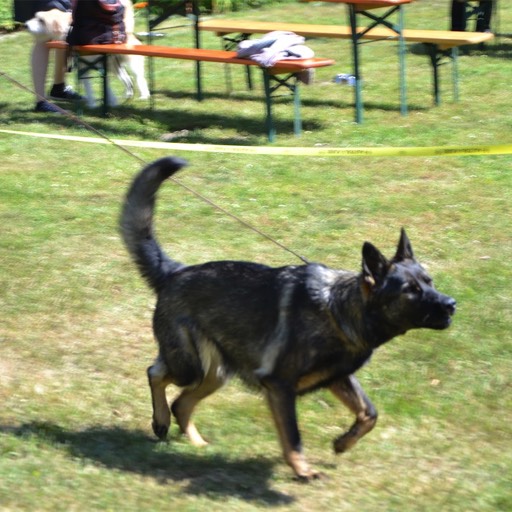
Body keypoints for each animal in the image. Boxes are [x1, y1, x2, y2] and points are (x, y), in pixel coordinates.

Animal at [120, 156, 456, 480]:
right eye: (411, 291)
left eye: (430, 281)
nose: (452, 304)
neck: (338, 310)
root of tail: (174, 271)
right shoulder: (280, 386)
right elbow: (293, 437)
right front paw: (304, 471)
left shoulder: (337, 378)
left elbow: (370, 413)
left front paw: (342, 443)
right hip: (191, 366)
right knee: (155, 373)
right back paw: (161, 421)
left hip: (215, 373)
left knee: (181, 402)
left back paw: (197, 444)